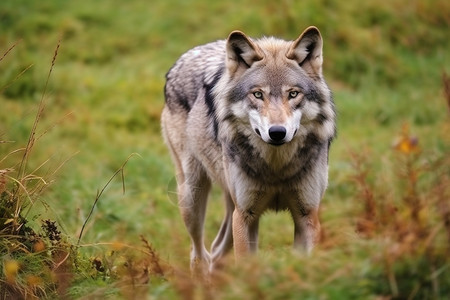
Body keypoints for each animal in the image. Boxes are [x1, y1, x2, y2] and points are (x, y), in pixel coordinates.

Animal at [161, 27, 334, 276]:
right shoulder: (245, 216)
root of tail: (186, 55)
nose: (277, 132)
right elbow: (246, 266)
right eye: (258, 94)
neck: (276, 168)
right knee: (198, 253)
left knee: (216, 250)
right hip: (191, 199)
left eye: (293, 94)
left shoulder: (307, 215)